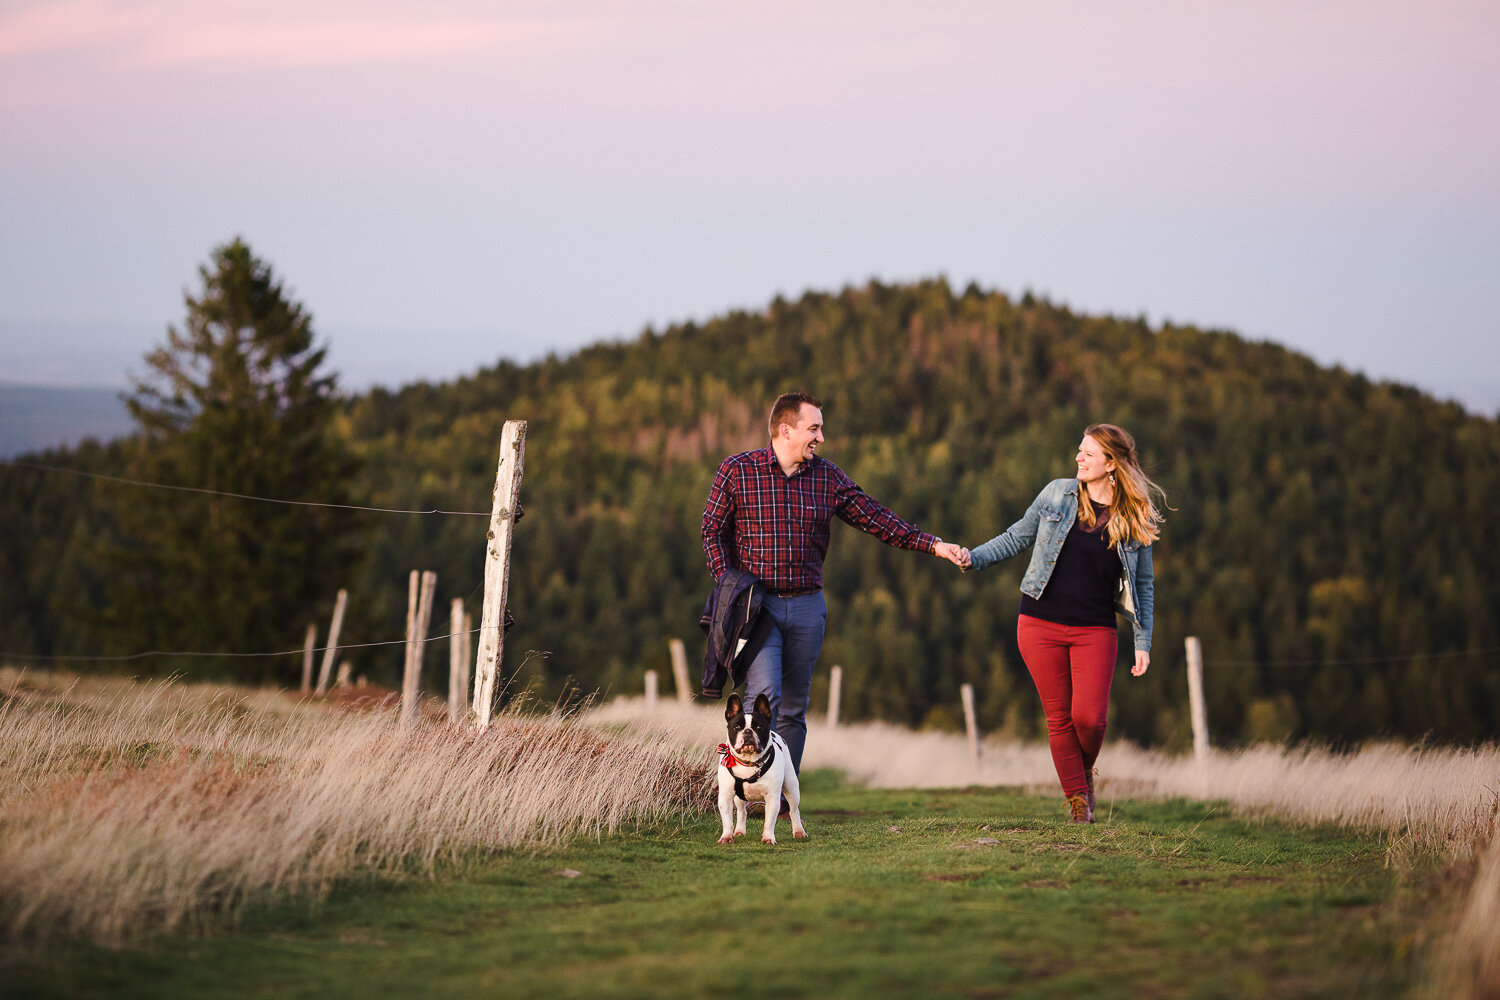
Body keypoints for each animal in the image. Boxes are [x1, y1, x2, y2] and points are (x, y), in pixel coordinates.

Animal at [717, 695, 804, 845]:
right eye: (736, 727)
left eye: (759, 727)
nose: (747, 731)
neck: (748, 762)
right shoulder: (725, 796)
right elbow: (727, 820)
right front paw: (727, 837)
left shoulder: (772, 798)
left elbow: (769, 821)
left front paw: (768, 838)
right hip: (739, 798)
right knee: (742, 811)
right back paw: (739, 831)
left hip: (791, 787)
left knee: (794, 811)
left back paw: (799, 832)